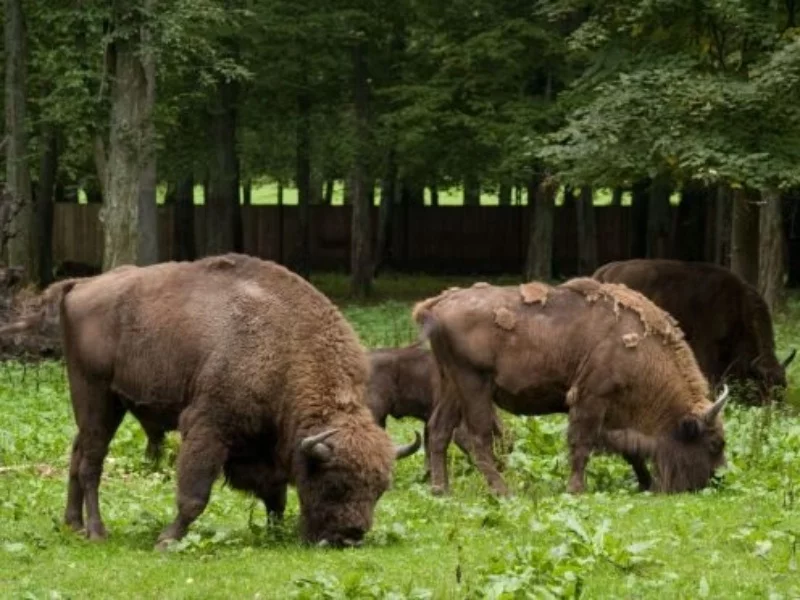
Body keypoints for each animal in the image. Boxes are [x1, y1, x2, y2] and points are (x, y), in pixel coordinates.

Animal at [0, 253, 422, 548]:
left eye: (379, 490)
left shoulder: (265, 445)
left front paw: (275, 530)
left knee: (76, 454)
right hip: (95, 395)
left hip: (102, 405)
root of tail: (80, 285)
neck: (287, 349)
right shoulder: (208, 427)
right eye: (335, 484)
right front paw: (167, 540)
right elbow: (194, 495)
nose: (350, 536)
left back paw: (72, 525)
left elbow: (276, 494)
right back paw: (97, 531)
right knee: (91, 463)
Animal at [416, 278, 728, 500]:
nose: (717, 479)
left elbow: (629, 450)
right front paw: (576, 489)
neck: (641, 348)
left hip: (451, 385)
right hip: (473, 385)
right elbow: (582, 444)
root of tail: (438, 303)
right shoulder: (592, 398)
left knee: (439, 431)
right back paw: (504, 493)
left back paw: (441, 491)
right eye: (714, 443)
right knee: (478, 439)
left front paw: (645, 483)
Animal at [592, 258, 796, 404]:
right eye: (762, 388)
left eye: (783, 387)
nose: (774, 413)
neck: (738, 306)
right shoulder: (707, 347)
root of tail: (603, 272)